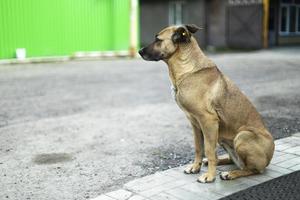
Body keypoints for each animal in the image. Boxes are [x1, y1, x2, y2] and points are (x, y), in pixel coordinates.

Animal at [138, 23, 274, 183]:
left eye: (158, 40)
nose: (139, 51)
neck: (188, 69)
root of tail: (269, 158)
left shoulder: (208, 121)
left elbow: (209, 150)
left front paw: (209, 176)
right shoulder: (195, 123)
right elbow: (199, 148)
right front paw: (195, 167)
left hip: (242, 136)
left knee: (252, 169)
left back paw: (230, 174)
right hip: (223, 139)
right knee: (233, 160)